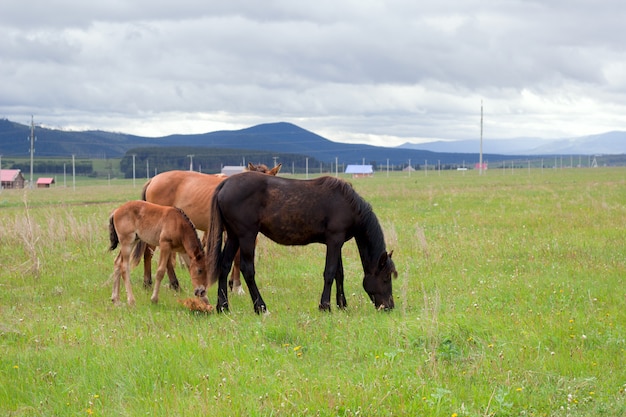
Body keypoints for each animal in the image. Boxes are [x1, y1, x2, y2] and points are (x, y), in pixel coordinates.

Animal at [141, 162, 280, 292]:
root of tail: (152, 180)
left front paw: (232, 284)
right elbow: (237, 257)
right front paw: (237, 287)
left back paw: (172, 285)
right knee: (150, 252)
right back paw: (153, 283)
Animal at [202, 171, 398, 312]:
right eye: (386, 278)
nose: (389, 306)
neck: (348, 204)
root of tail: (225, 184)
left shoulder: (338, 242)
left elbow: (339, 273)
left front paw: (342, 305)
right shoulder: (334, 240)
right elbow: (330, 272)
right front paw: (325, 306)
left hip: (233, 236)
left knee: (225, 266)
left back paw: (223, 306)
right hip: (246, 235)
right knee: (247, 269)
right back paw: (261, 307)